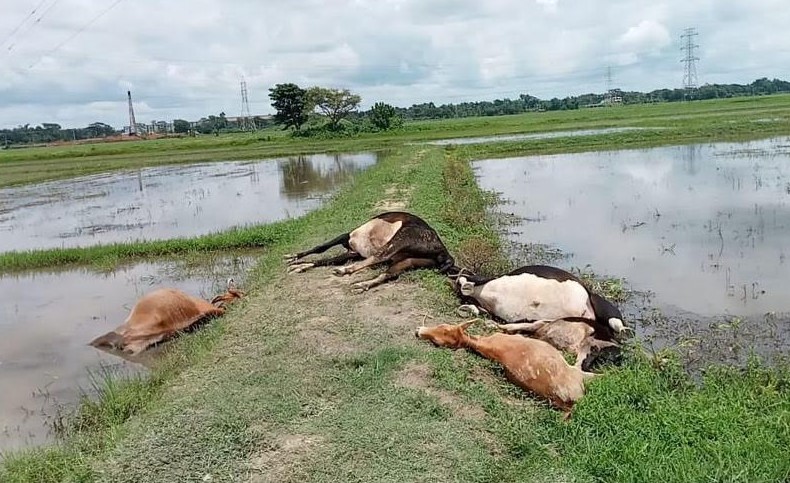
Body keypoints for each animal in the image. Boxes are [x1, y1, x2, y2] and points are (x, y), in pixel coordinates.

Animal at [286, 211, 458, 294]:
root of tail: (445, 253)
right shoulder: (352, 253)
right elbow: (324, 260)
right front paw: (299, 266)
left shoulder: (345, 237)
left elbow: (320, 248)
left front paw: (294, 259)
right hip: (407, 261)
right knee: (386, 275)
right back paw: (362, 285)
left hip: (401, 239)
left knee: (379, 256)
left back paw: (345, 270)